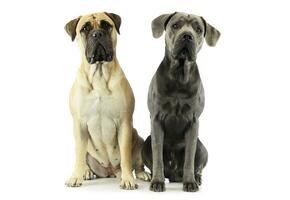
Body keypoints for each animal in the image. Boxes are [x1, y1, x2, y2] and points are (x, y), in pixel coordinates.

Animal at [64, 11, 151, 190]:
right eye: (85, 29)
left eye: (106, 25)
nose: (97, 34)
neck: (99, 73)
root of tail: (110, 171)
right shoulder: (79, 124)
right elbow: (79, 155)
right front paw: (75, 177)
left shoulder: (124, 122)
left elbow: (125, 156)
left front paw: (128, 179)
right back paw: (86, 172)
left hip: (138, 139)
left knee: (137, 163)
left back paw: (141, 174)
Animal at [142, 12, 220, 192]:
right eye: (176, 25)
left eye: (198, 29)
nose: (187, 35)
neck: (179, 76)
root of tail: (173, 174)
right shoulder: (156, 120)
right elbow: (157, 155)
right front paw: (157, 182)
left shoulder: (193, 122)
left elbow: (189, 158)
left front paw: (190, 182)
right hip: (146, 142)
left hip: (202, 147)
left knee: (197, 164)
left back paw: (196, 178)